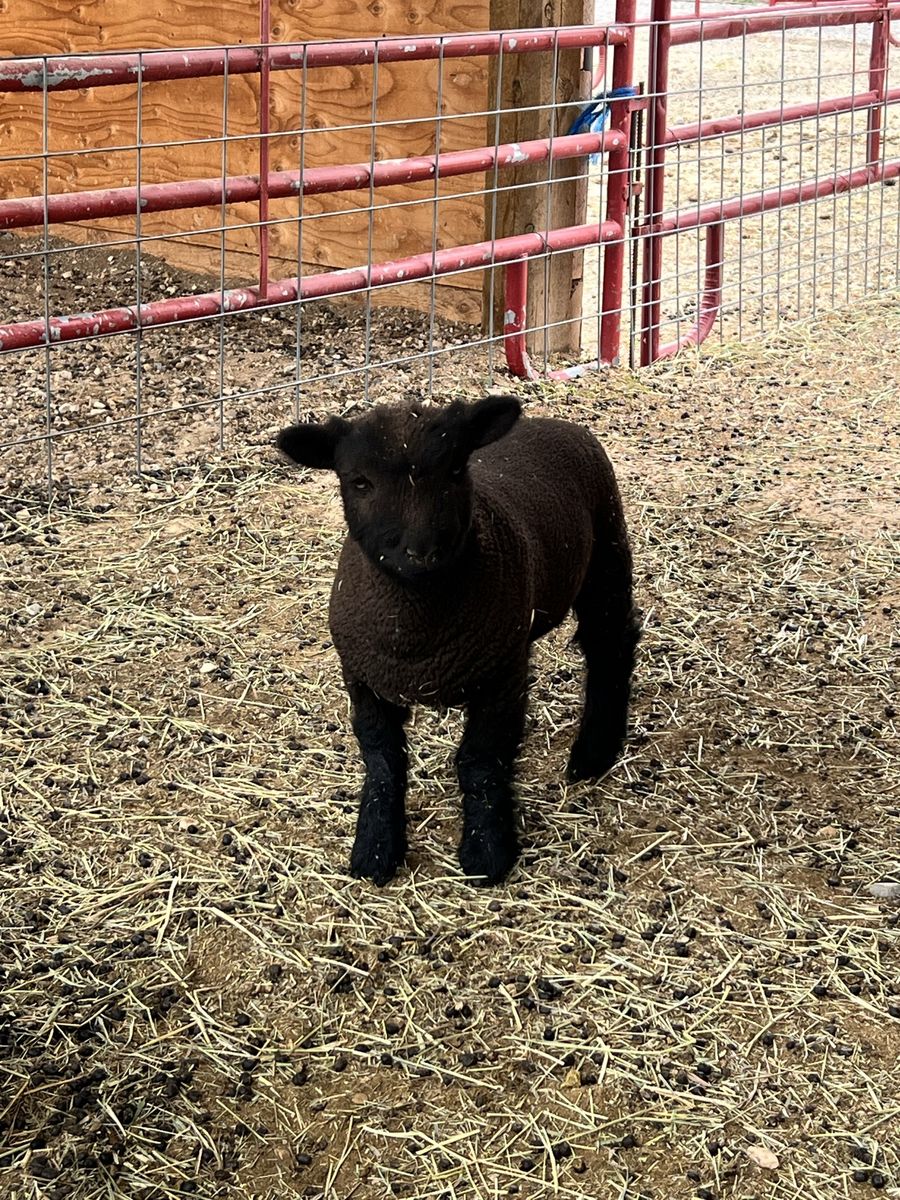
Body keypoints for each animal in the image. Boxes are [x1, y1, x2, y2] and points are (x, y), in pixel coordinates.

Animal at [276, 395, 640, 886]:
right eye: (359, 481)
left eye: (453, 470)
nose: (421, 551)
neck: (416, 637)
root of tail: (550, 422)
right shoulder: (363, 678)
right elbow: (382, 758)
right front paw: (375, 847)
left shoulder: (501, 678)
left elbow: (481, 761)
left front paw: (487, 851)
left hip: (607, 549)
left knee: (610, 645)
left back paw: (595, 751)